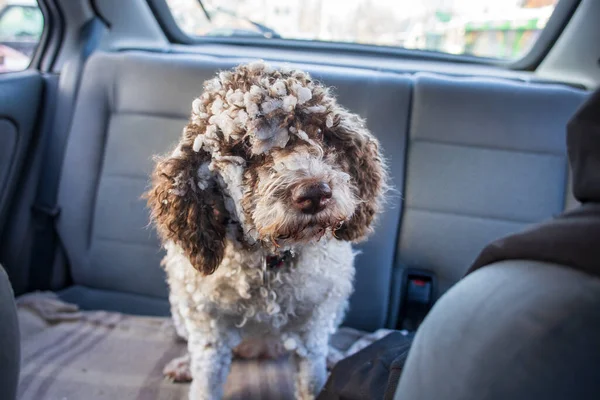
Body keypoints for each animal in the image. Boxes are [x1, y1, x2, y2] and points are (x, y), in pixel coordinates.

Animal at [148, 60, 386, 400]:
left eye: (320, 132)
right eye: (245, 145)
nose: (315, 193)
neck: (268, 262)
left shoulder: (312, 325)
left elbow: (312, 377)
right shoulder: (209, 328)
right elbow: (206, 380)